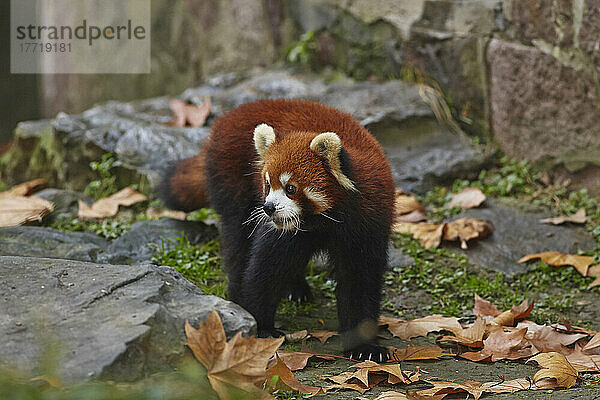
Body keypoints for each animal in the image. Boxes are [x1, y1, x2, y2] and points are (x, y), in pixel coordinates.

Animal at [164, 100, 396, 362]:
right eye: (267, 185)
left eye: (290, 188)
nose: (268, 207)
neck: (321, 221)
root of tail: (233, 114)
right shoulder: (282, 231)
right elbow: (266, 268)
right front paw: (260, 326)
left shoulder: (366, 224)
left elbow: (360, 280)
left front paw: (364, 346)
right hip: (232, 182)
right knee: (239, 241)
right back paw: (239, 295)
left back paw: (295, 288)